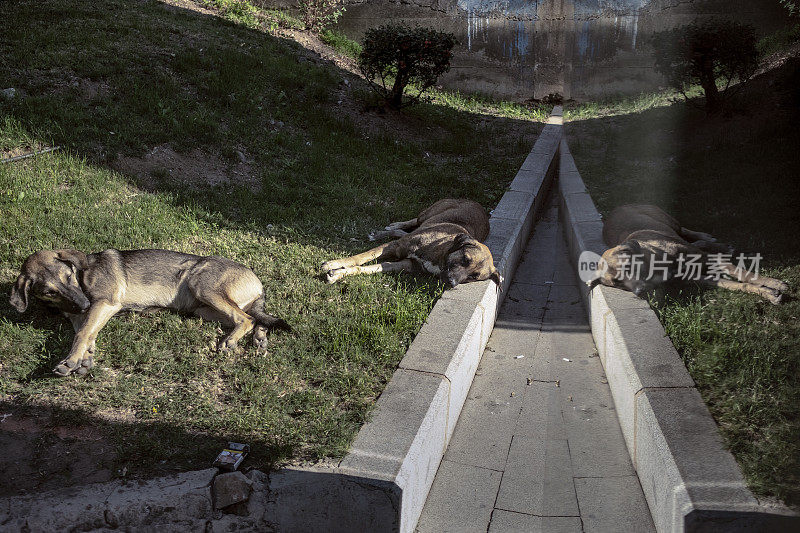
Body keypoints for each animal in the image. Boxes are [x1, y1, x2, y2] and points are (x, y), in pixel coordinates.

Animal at [9, 248, 290, 376]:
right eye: (49, 291)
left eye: (68, 276)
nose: (83, 304)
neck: (83, 277)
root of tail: (257, 282)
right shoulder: (85, 315)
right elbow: (87, 334)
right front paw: (83, 359)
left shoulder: (105, 304)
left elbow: (82, 335)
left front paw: (70, 361)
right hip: (206, 310)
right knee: (258, 319)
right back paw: (260, 339)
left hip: (202, 286)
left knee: (247, 318)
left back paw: (231, 341)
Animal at [318, 197, 500, 286]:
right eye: (465, 259)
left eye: (474, 277)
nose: (451, 283)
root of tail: (477, 204)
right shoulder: (395, 246)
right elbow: (361, 257)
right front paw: (333, 264)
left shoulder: (407, 264)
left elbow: (368, 268)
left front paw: (338, 274)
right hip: (428, 214)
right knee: (413, 221)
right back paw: (390, 228)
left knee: (406, 231)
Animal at [592, 204, 792, 304]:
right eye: (617, 283)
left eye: (628, 267)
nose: (639, 292)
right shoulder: (698, 277)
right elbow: (735, 285)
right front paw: (767, 293)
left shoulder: (709, 259)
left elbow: (743, 274)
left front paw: (773, 283)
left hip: (668, 220)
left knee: (685, 231)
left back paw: (710, 240)